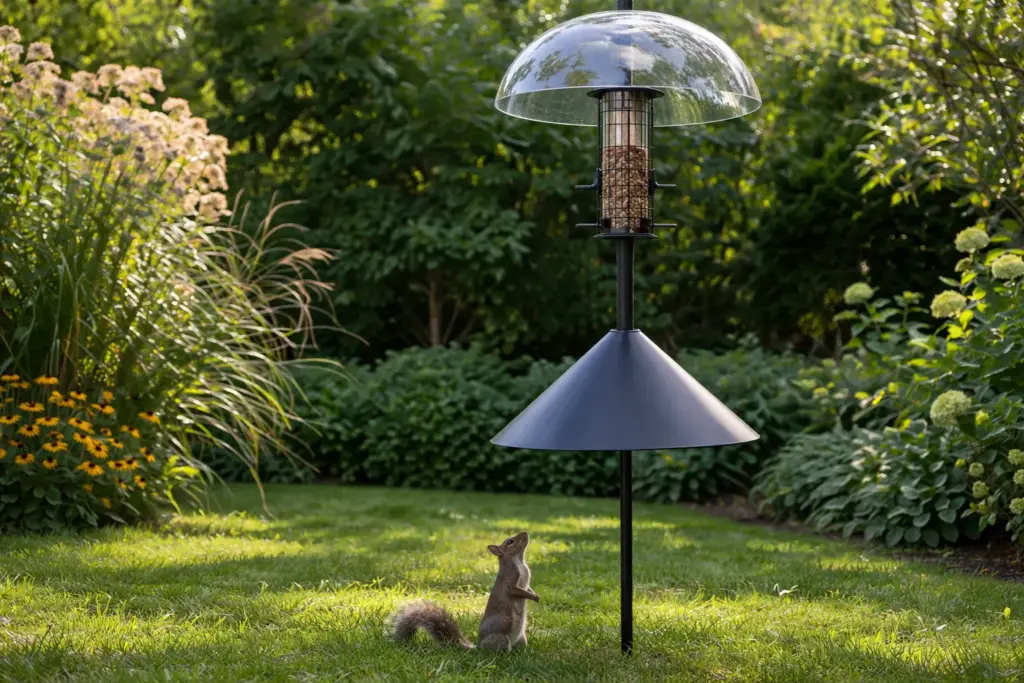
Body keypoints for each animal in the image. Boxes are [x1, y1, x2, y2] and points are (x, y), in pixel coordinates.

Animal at [390, 531, 540, 651]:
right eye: (510, 541)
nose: (525, 533)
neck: (519, 562)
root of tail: (478, 647)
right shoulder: (510, 578)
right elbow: (515, 590)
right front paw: (532, 597)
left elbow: (527, 588)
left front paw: (535, 595)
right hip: (500, 638)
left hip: (522, 639)